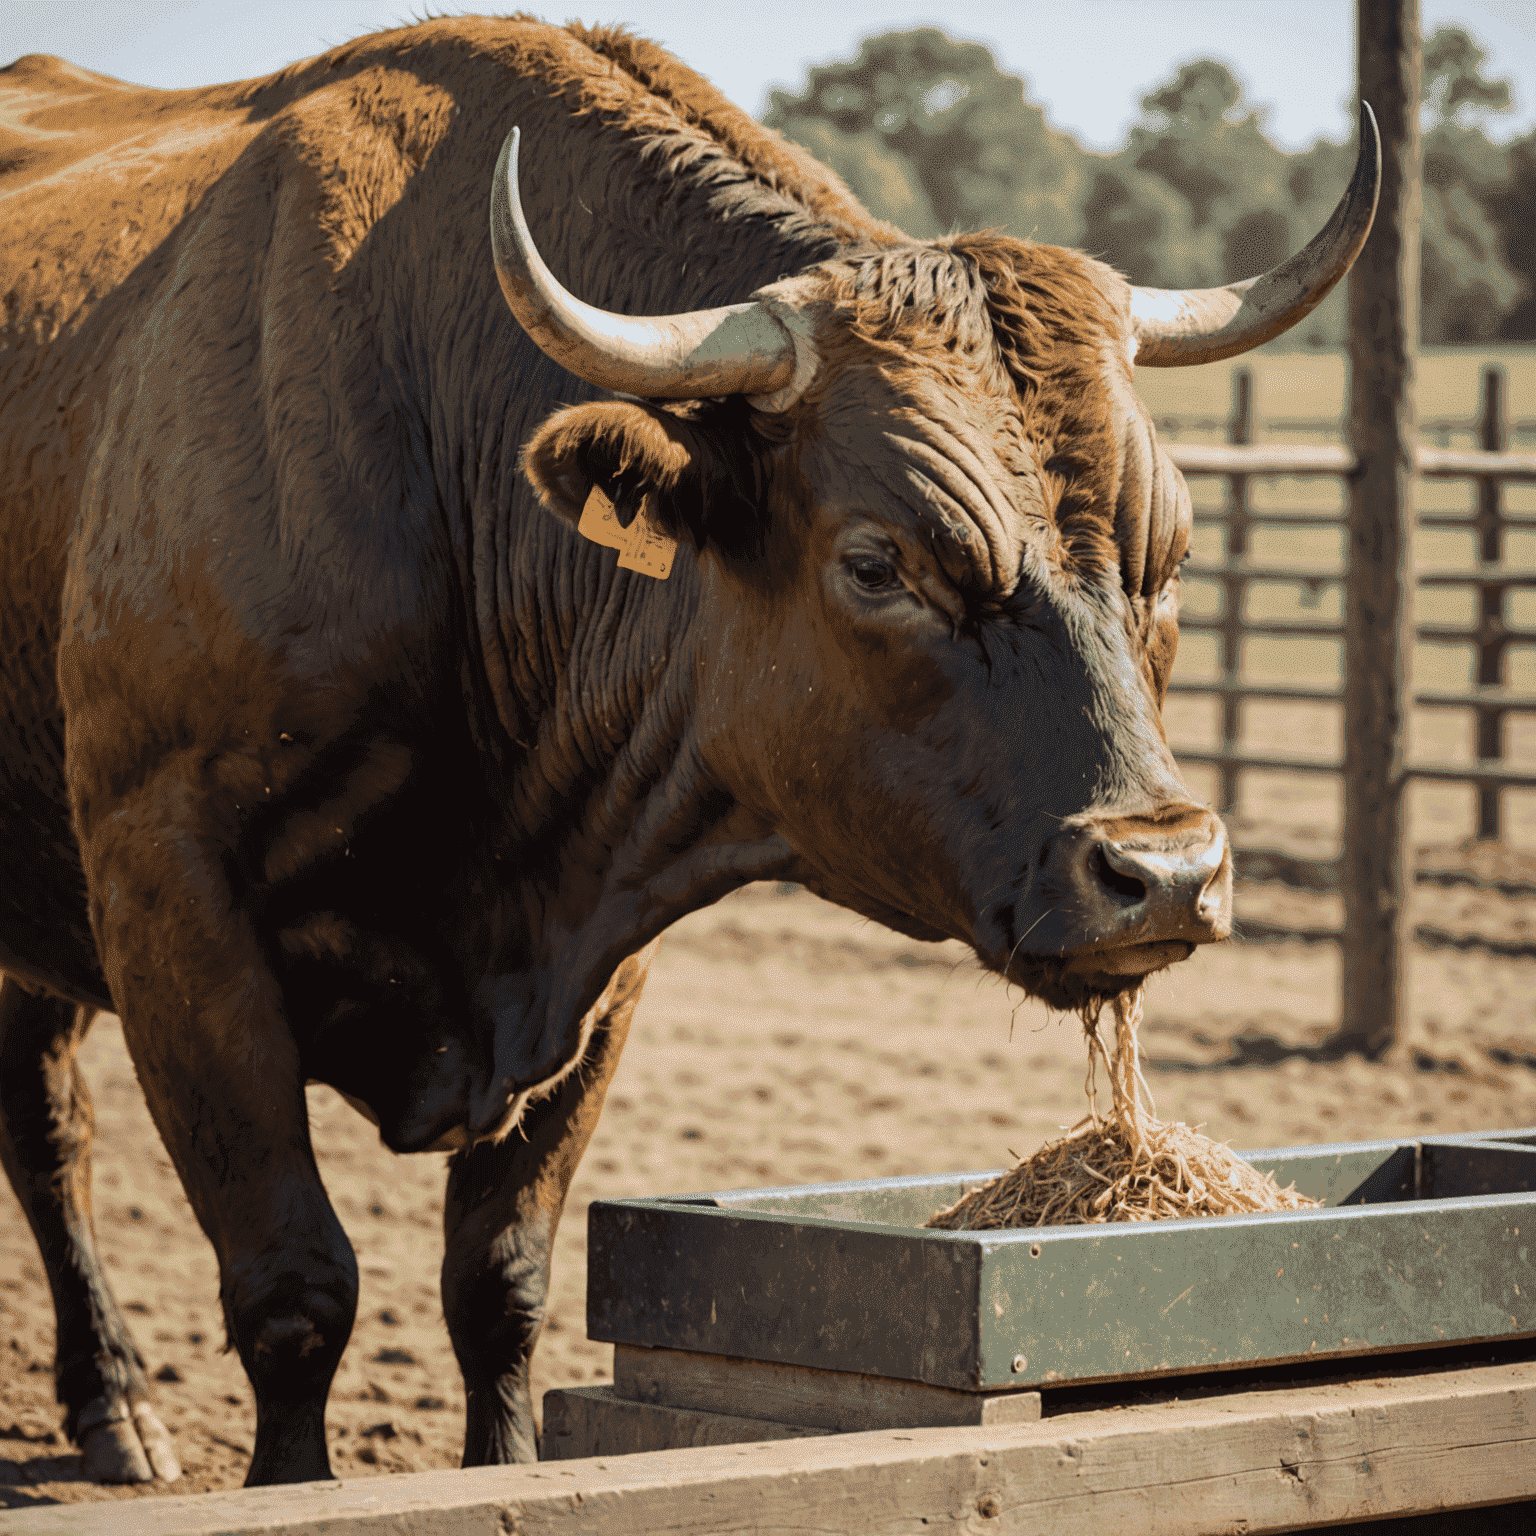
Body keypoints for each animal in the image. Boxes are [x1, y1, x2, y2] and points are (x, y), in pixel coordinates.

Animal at [0, 14, 1376, 1486]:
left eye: (1170, 556)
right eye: (877, 563)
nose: (1161, 873)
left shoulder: (600, 948)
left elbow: (500, 1280)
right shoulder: (171, 899)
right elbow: (294, 1290)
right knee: (55, 1131)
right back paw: (118, 1407)